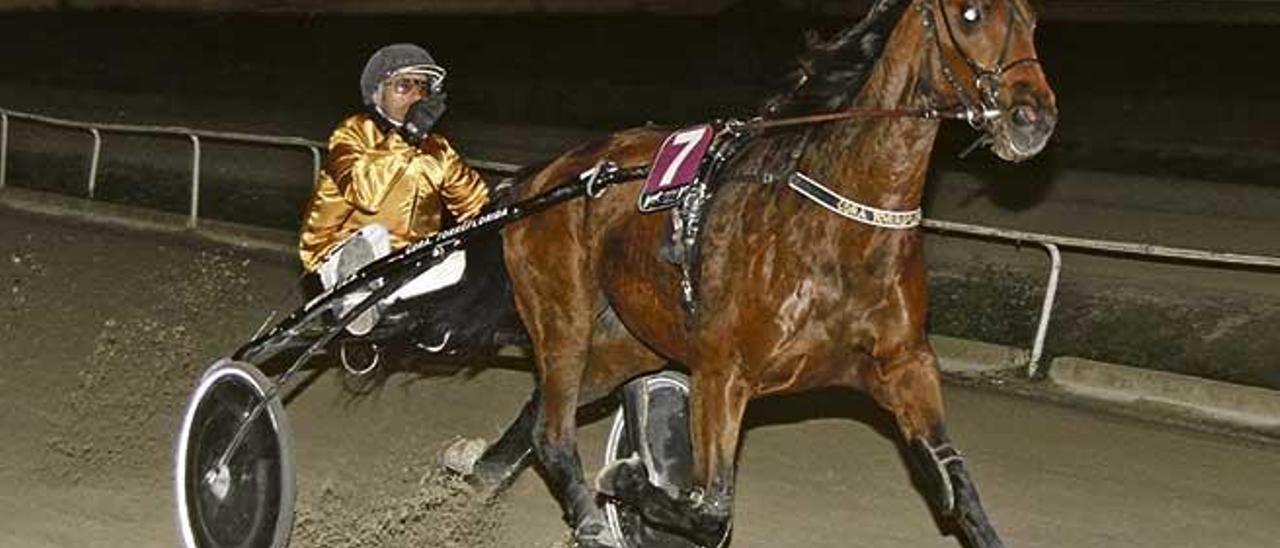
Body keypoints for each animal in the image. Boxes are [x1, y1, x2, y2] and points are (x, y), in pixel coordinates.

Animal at [455, 2, 1054, 545]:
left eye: (1031, 18)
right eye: (970, 14)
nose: (1033, 117)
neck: (837, 225)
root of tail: (543, 178)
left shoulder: (906, 364)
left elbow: (959, 489)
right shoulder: (722, 372)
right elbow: (711, 509)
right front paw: (628, 477)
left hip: (632, 342)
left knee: (541, 417)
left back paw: (474, 471)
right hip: (565, 319)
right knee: (552, 433)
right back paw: (587, 520)